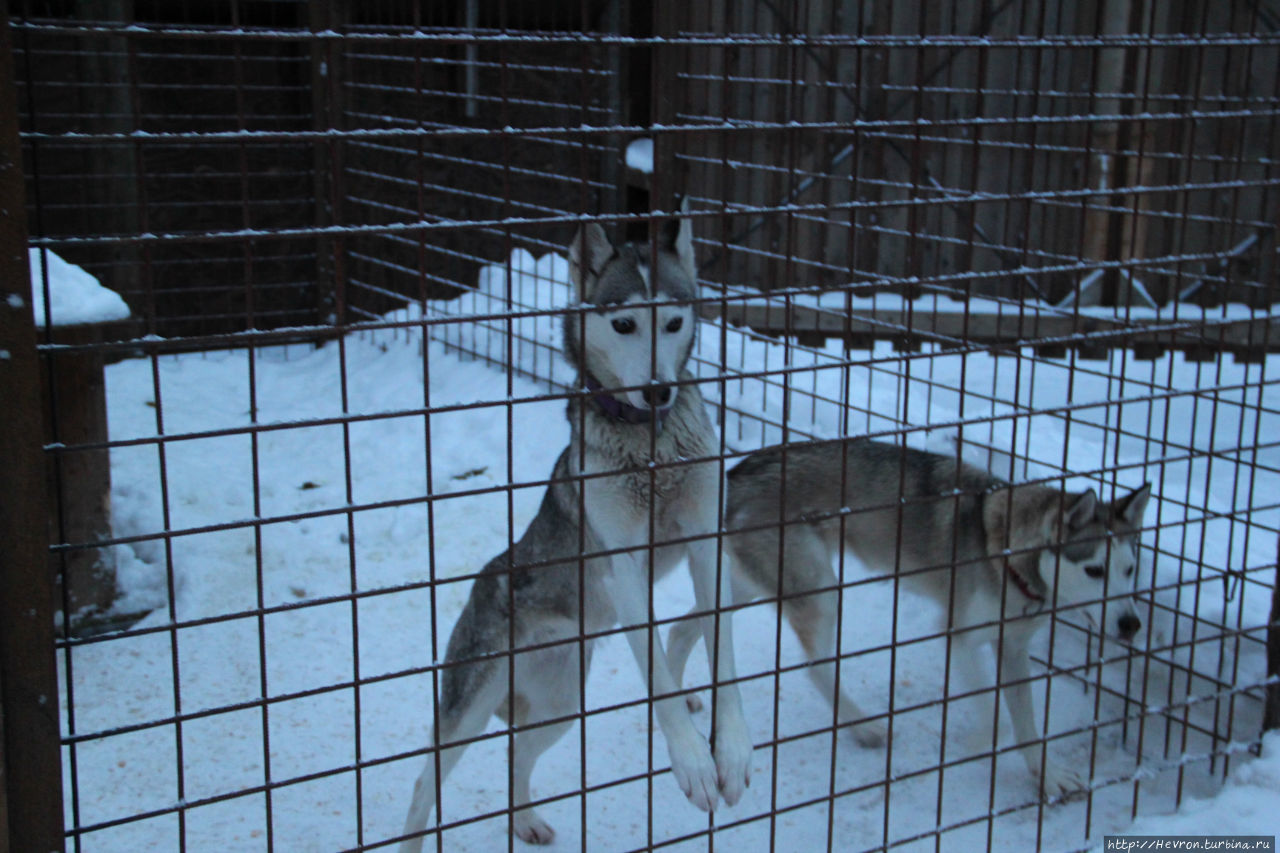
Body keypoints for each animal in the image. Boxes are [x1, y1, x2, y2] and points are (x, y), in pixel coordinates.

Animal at [399, 207, 752, 850]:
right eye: (623, 324)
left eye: (672, 321)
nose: (658, 389)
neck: (650, 445)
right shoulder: (622, 568)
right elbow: (659, 676)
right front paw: (692, 761)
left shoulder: (705, 543)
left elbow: (726, 655)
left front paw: (733, 751)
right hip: (469, 704)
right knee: (424, 782)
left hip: (562, 704)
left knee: (517, 752)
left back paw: (524, 819)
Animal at [670, 438, 1152, 799]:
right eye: (1095, 571)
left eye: (1131, 570)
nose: (1131, 625)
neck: (1006, 550)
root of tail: (737, 474)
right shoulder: (959, 636)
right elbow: (996, 718)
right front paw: (979, 744)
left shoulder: (1013, 648)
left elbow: (1028, 726)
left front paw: (1047, 775)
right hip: (822, 590)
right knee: (817, 667)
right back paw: (863, 726)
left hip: (741, 585)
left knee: (681, 629)